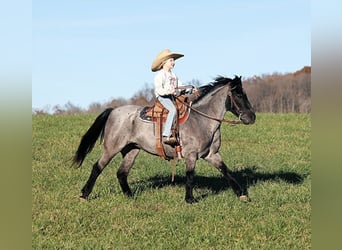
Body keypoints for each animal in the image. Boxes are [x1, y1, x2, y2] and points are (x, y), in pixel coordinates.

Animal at [73, 75, 254, 203]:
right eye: (238, 95)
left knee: (122, 173)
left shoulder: (212, 154)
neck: (202, 120)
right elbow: (190, 176)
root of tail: (113, 111)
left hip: (132, 149)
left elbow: (226, 171)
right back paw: (84, 195)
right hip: (111, 148)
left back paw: (130, 196)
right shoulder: (191, 155)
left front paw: (242, 194)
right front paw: (190, 199)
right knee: (97, 167)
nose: (252, 117)